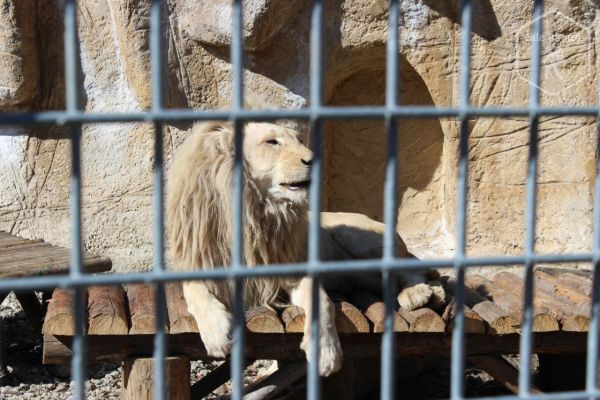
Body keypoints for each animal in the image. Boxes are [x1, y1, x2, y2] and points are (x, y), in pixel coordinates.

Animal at [166, 120, 442, 376]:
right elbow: (197, 294)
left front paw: (325, 353)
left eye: (298, 139)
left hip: (358, 238)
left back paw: (417, 294)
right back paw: (431, 293)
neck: (255, 215)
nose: (313, 159)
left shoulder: (294, 272)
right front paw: (218, 334)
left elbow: (322, 302)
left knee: (411, 267)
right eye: (272, 142)